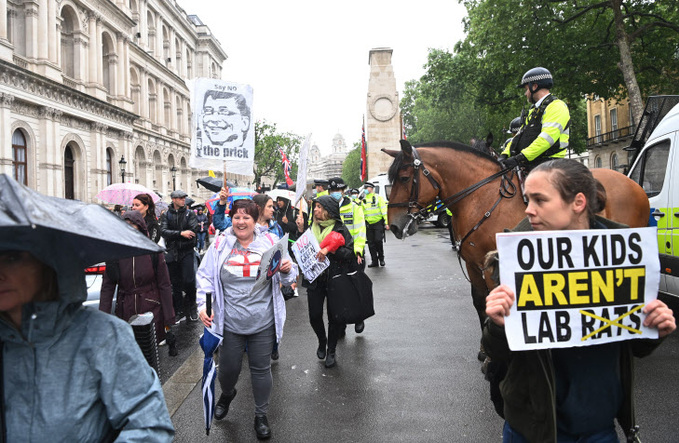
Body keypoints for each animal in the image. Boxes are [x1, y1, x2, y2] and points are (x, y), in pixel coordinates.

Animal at [386, 142, 652, 336]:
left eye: (404, 178)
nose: (394, 225)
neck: (481, 197)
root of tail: (633, 183)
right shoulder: (474, 266)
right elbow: (481, 304)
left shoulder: (494, 267)